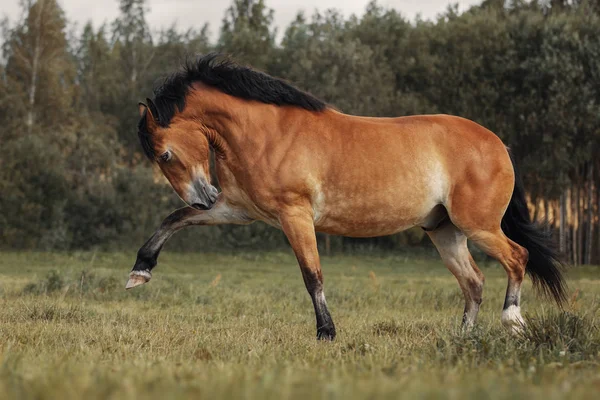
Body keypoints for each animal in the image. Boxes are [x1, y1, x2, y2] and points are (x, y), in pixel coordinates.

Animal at [127, 54, 568, 340]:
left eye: (164, 154)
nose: (203, 196)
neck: (265, 133)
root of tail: (498, 144)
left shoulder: (294, 215)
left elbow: (312, 276)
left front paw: (326, 332)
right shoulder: (237, 210)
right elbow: (173, 220)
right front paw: (140, 272)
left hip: (478, 226)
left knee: (517, 258)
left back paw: (512, 322)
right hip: (445, 231)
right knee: (474, 282)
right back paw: (464, 338)